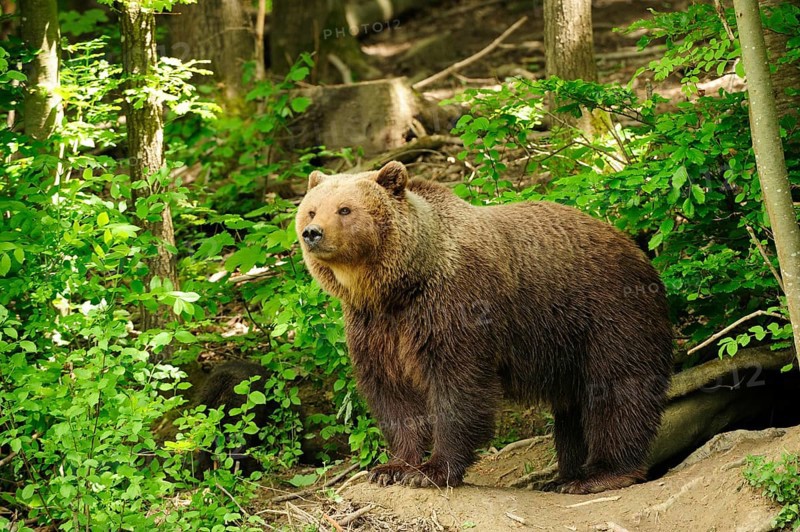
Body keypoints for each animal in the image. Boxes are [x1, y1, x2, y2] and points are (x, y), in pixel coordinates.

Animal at [295, 161, 673, 493]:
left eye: (345, 209)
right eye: (312, 210)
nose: (312, 233)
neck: (399, 285)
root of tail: (637, 248)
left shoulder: (453, 305)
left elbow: (458, 386)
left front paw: (432, 470)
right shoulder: (375, 326)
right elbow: (392, 393)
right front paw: (392, 468)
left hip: (606, 313)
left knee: (617, 388)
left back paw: (600, 474)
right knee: (573, 409)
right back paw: (566, 474)